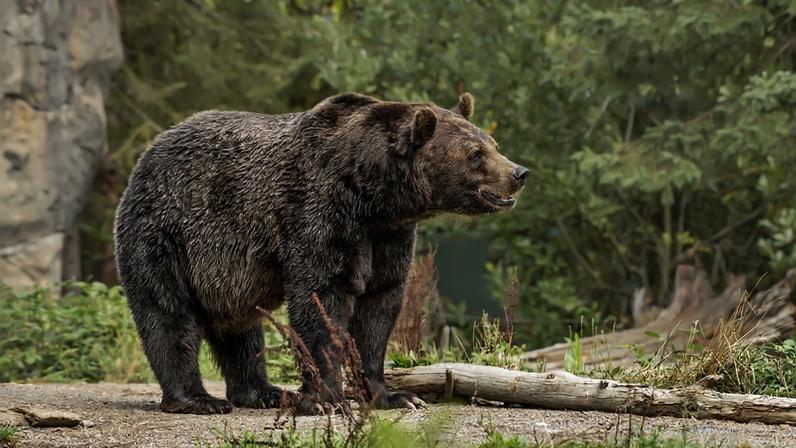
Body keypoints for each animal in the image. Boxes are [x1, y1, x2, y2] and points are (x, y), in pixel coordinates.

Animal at [114, 92, 528, 415]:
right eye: (475, 154)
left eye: (493, 144)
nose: (519, 173)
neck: (373, 197)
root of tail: (149, 152)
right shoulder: (320, 213)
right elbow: (321, 300)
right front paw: (326, 399)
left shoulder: (388, 237)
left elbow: (379, 308)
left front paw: (393, 395)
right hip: (168, 232)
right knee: (168, 313)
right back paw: (197, 399)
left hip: (226, 273)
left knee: (241, 329)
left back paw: (262, 392)